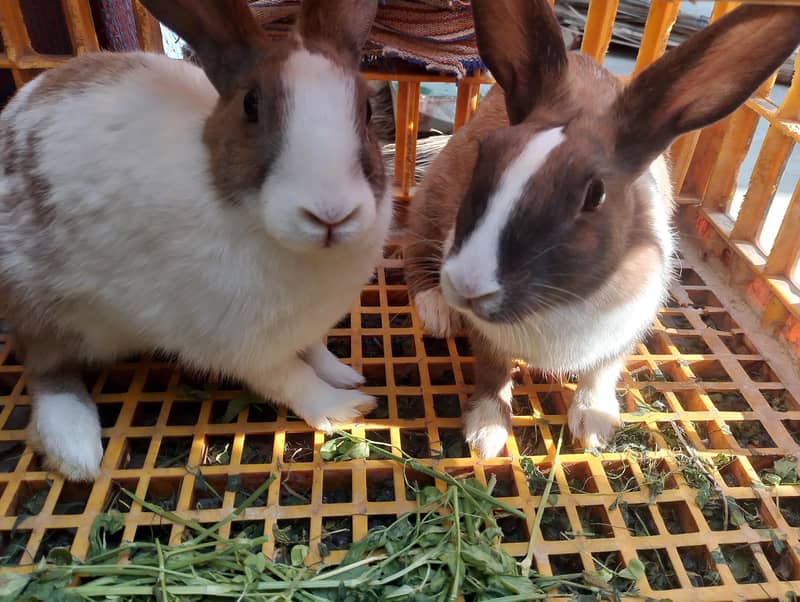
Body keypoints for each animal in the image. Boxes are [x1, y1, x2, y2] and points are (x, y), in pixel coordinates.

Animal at [0, 0, 390, 482]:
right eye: (251, 104)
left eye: (368, 111)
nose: (330, 213)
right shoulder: (242, 346)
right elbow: (291, 379)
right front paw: (347, 406)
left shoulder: (303, 325)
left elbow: (314, 351)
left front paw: (346, 374)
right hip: (40, 307)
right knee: (43, 368)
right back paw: (77, 450)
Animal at [404, 0, 800, 458]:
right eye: (487, 154)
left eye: (595, 195)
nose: (467, 286)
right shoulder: (487, 341)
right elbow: (493, 375)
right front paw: (486, 436)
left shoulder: (622, 335)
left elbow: (601, 374)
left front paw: (594, 427)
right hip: (431, 199)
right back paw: (436, 311)